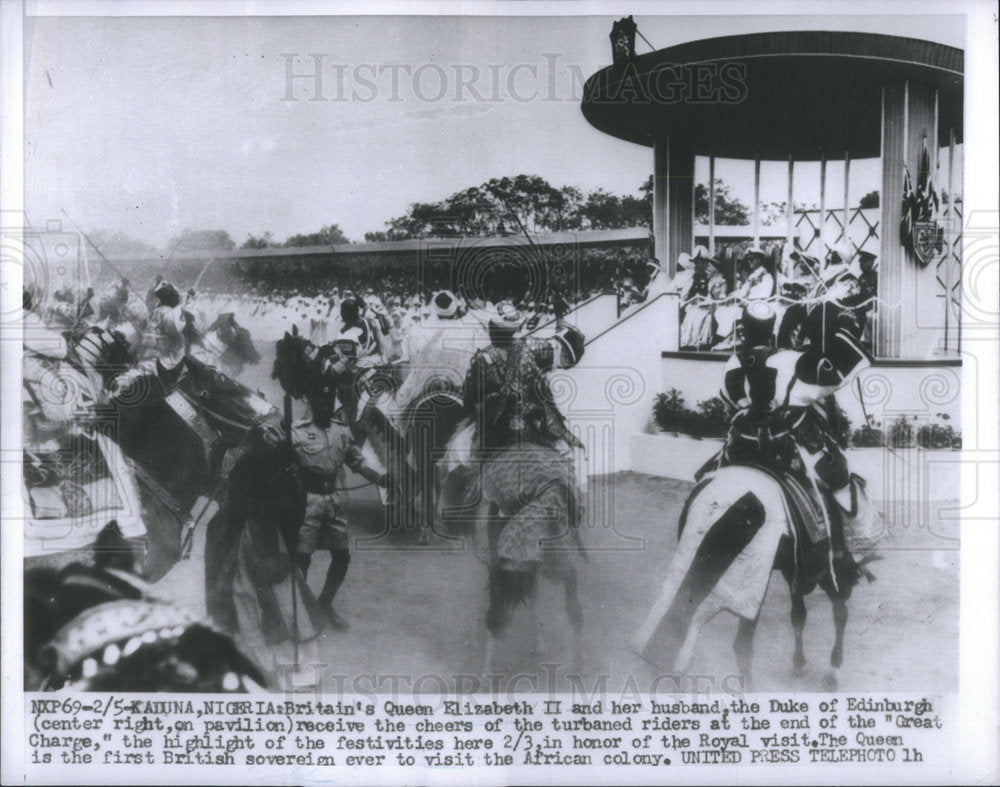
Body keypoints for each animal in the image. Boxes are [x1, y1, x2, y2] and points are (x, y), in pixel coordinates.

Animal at [632, 464, 876, 692]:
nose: (851, 584)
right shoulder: (820, 568)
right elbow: (838, 613)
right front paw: (833, 669)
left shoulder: (793, 571)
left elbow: (799, 615)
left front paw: (801, 662)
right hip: (750, 582)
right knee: (740, 643)